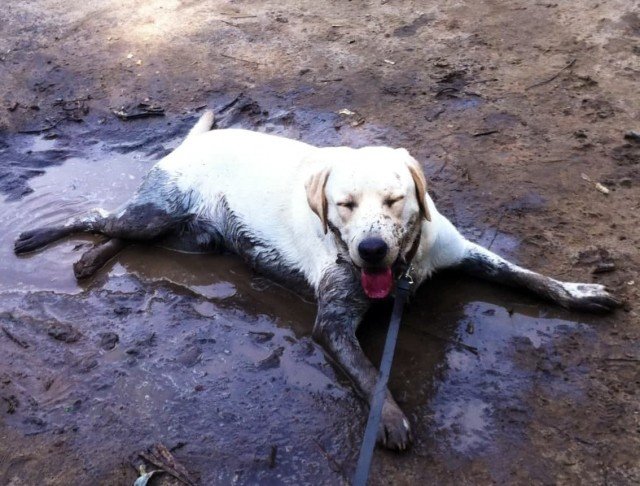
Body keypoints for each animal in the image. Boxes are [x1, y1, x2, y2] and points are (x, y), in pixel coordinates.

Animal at [12, 110, 616, 448]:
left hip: (191, 235)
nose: (371, 251)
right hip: (160, 213)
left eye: (395, 200)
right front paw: (389, 419)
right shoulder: (334, 323)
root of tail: (194, 141)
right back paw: (43, 238)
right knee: (102, 217)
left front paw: (577, 292)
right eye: (342, 205)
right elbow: (372, 376)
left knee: (125, 232)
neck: (402, 270)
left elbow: (528, 276)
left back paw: (92, 258)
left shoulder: (463, 252)